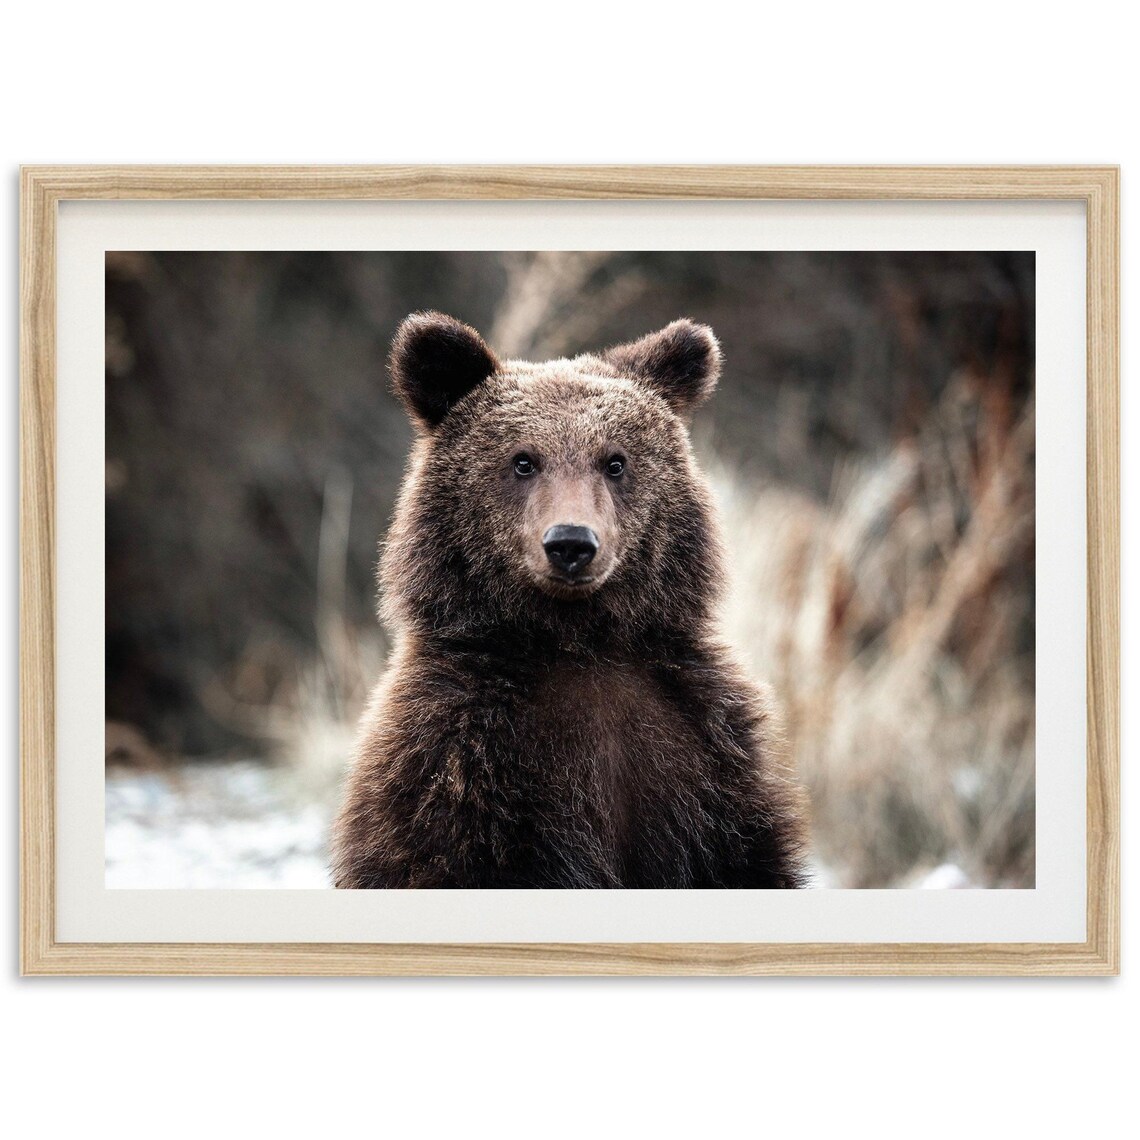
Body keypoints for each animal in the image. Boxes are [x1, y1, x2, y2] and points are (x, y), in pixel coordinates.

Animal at [331, 312, 807, 889]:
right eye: (523, 461)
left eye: (615, 462)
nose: (571, 543)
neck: (577, 643)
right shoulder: (455, 765)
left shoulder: (708, 760)